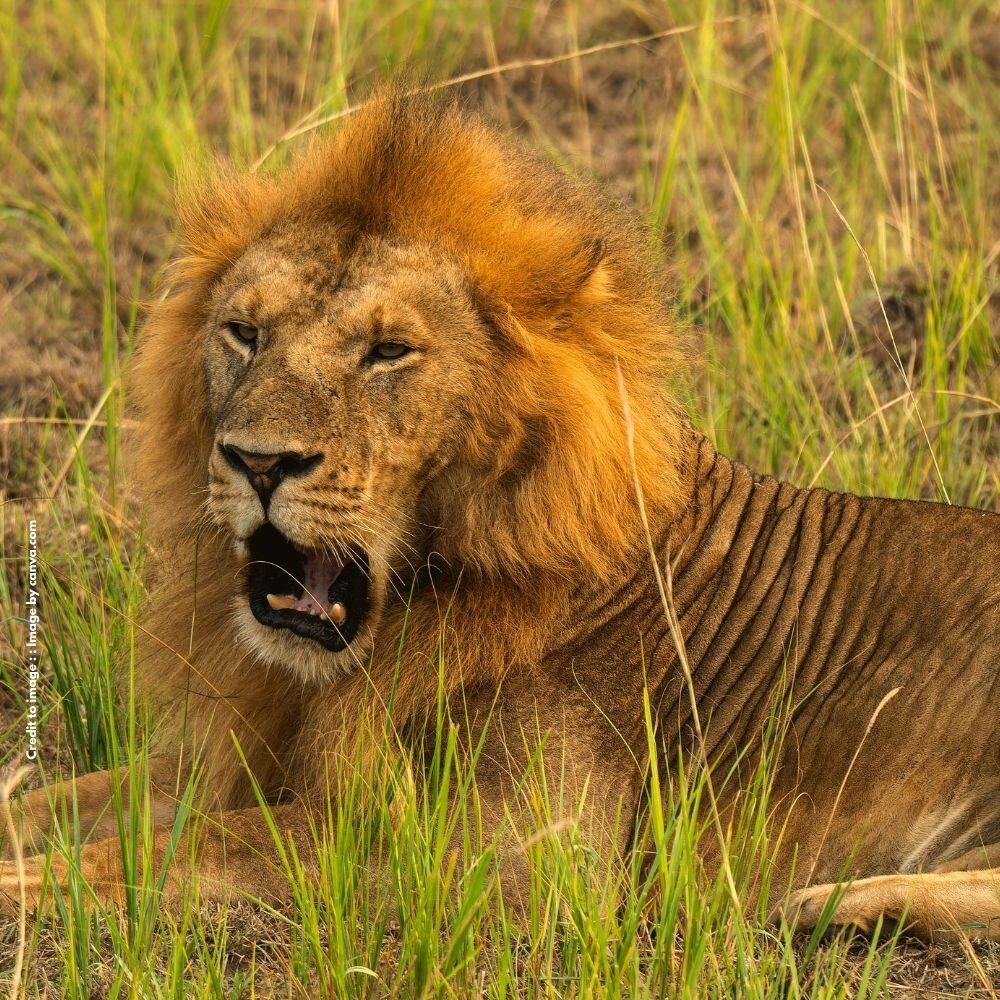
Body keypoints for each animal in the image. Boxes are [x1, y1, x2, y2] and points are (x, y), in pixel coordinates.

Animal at [4, 90, 999, 942]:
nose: (257, 462)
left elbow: (187, 846)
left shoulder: (524, 852)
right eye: (244, 333)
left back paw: (834, 901)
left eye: (388, 352)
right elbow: (62, 803)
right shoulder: (239, 757)